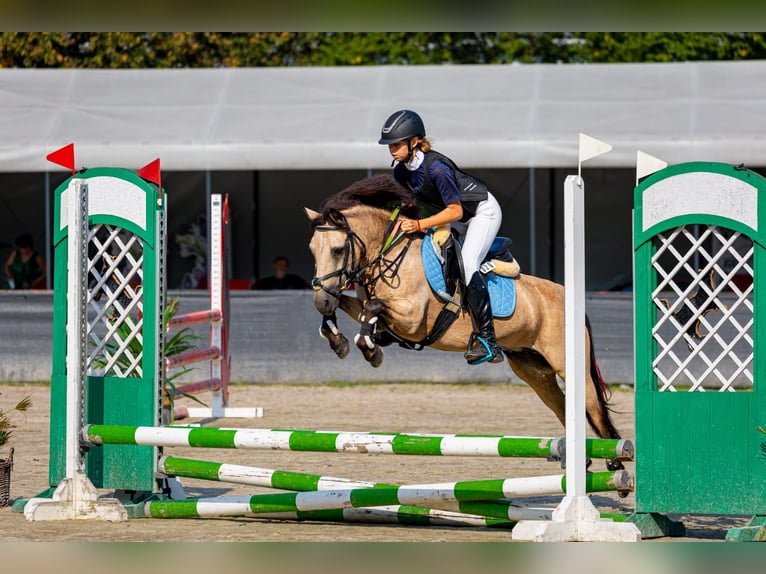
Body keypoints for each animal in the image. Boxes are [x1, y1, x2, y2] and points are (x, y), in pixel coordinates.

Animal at [308, 176, 628, 472]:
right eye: (312, 249)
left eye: (338, 250)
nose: (320, 299)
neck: (390, 253)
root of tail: (569, 297)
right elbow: (353, 307)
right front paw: (338, 338)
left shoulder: (413, 319)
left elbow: (372, 309)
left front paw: (370, 349)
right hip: (534, 372)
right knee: (563, 408)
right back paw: (583, 460)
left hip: (568, 367)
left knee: (594, 410)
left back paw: (617, 465)